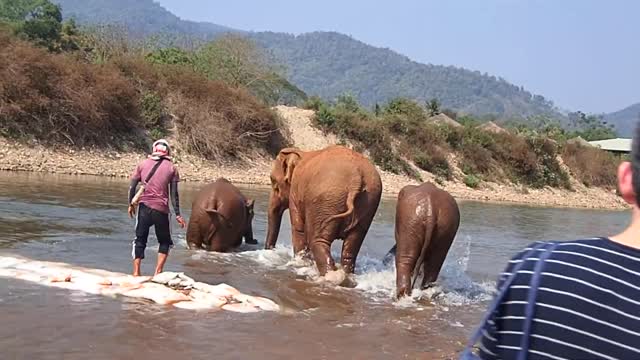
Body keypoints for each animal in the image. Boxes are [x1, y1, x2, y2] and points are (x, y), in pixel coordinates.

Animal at [264, 145, 382, 274]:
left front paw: (301, 263)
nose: (269, 249)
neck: (300, 153)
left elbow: (298, 229)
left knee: (318, 242)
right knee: (352, 247)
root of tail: (356, 180)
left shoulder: (295, 193)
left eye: (273, 181)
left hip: (326, 200)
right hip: (368, 203)